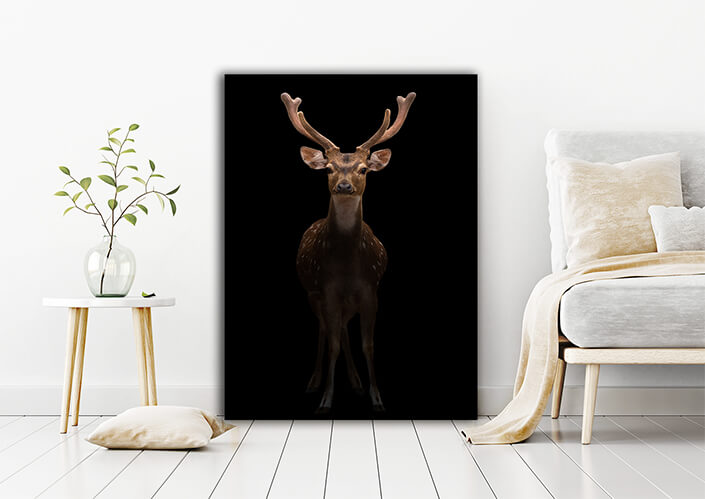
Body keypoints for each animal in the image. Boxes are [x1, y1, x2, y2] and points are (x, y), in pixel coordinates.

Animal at [281, 91, 416, 413]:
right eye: (328, 169)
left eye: (363, 169)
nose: (343, 186)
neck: (346, 265)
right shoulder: (327, 289)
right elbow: (331, 343)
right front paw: (326, 399)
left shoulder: (370, 290)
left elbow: (368, 345)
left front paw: (376, 397)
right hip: (312, 293)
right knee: (325, 329)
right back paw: (314, 381)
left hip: (347, 300)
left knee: (341, 327)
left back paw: (355, 381)